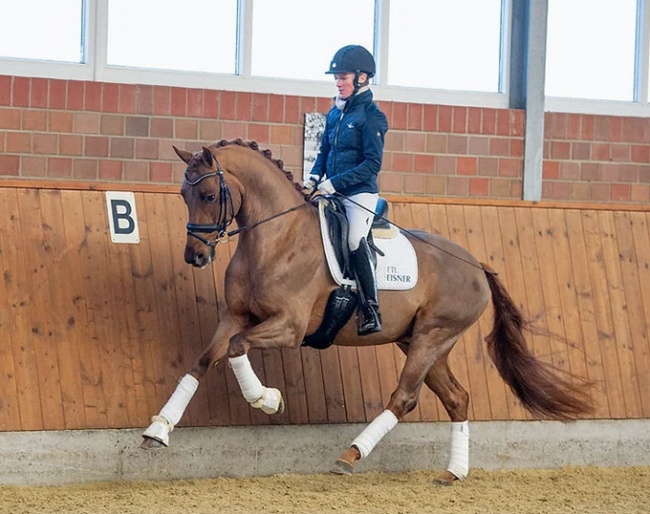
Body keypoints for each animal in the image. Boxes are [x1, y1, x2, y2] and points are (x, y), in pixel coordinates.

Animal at [139, 138, 588, 482]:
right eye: (183, 196)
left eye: (209, 195)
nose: (195, 257)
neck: (277, 236)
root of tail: (477, 265)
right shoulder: (234, 316)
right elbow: (203, 361)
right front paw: (157, 429)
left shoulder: (289, 327)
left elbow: (236, 348)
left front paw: (267, 399)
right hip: (421, 342)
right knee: (456, 398)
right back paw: (453, 473)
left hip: (432, 338)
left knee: (404, 397)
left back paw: (350, 455)